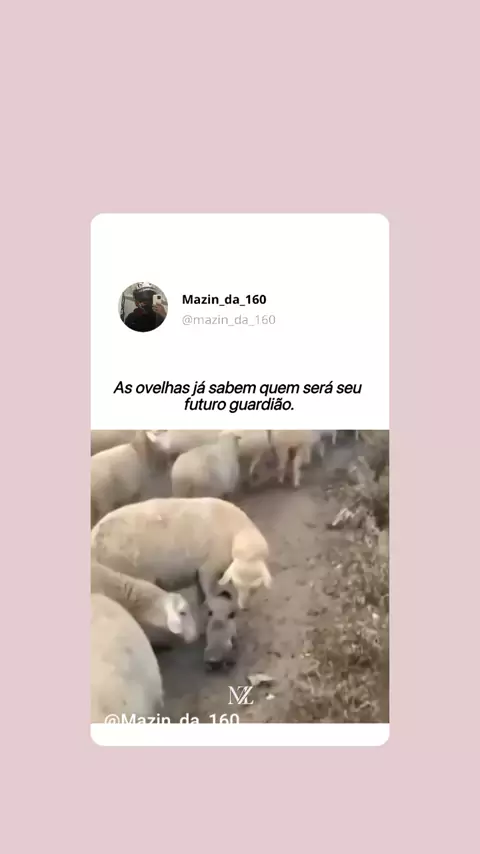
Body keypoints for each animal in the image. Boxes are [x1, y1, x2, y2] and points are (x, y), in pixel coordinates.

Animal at [91, 496, 272, 613]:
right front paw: (213, 604)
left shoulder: (200, 570)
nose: (244, 607)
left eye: (256, 588)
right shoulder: (210, 567)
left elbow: (201, 591)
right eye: (235, 584)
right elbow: (209, 589)